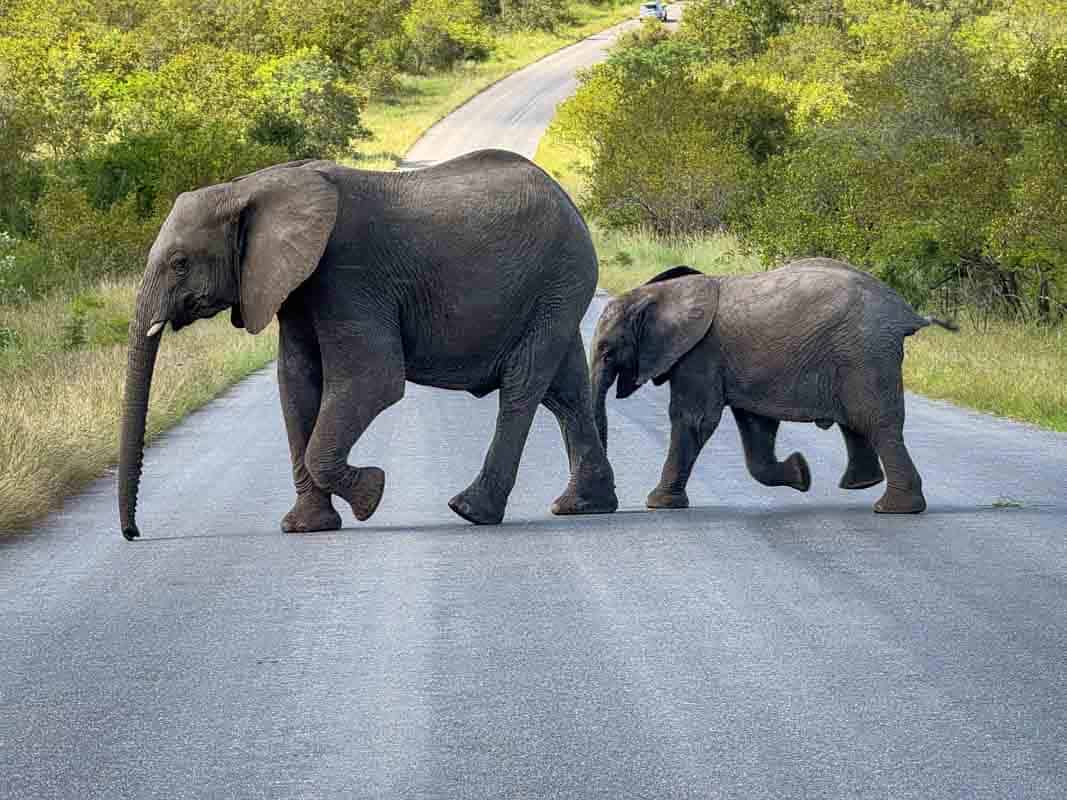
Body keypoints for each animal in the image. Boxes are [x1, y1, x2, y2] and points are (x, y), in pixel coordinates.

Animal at [116, 149, 618, 539]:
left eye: (180, 263)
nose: (133, 533)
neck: (250, 187)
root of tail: (568, 200)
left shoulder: (347, 273)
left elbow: (373, 380)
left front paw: (372, 494)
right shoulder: (296, 284)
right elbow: (296, 383)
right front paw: (306, 527)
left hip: (560, 277)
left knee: (522, 385)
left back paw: (472, 511)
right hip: (556, 290)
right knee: (565, 391)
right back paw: (583, 506)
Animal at [593, 260, 960, 516]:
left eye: (606, 350)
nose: (610, 503)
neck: (657, 295)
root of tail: (905, 313)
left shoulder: (700, 355)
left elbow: (694, 420)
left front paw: (657, 503)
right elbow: (756, 427)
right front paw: (801, 474)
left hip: (864, 353)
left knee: (874, 421)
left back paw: (893, 508)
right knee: (858, 422)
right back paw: (862, 485)